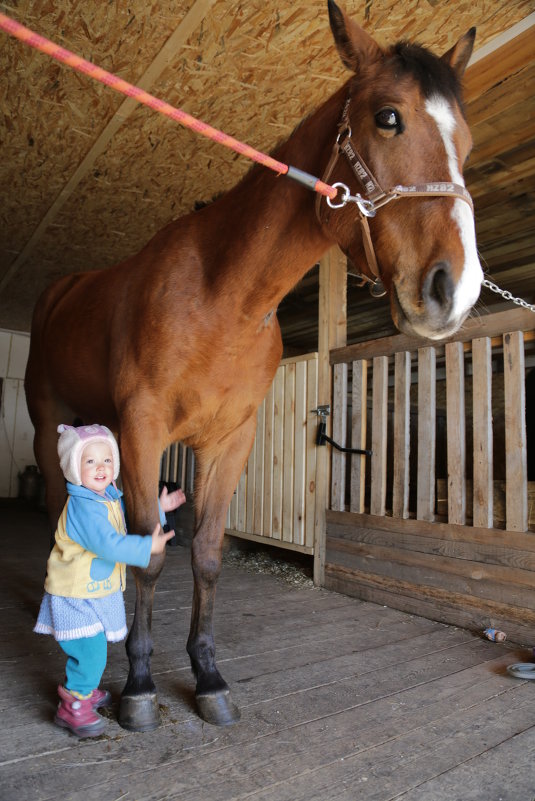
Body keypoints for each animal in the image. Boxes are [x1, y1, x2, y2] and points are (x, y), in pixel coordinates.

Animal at [25, 0, 484, 728]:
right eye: (388, 117)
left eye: (464, 142)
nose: (455, 291)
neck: (224, 297)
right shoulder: (144, 429)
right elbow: (150, 554)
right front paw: (139, 686)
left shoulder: (229, 440)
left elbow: (207, 555)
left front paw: (208, 675)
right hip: (48, 422)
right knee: (53, 506)